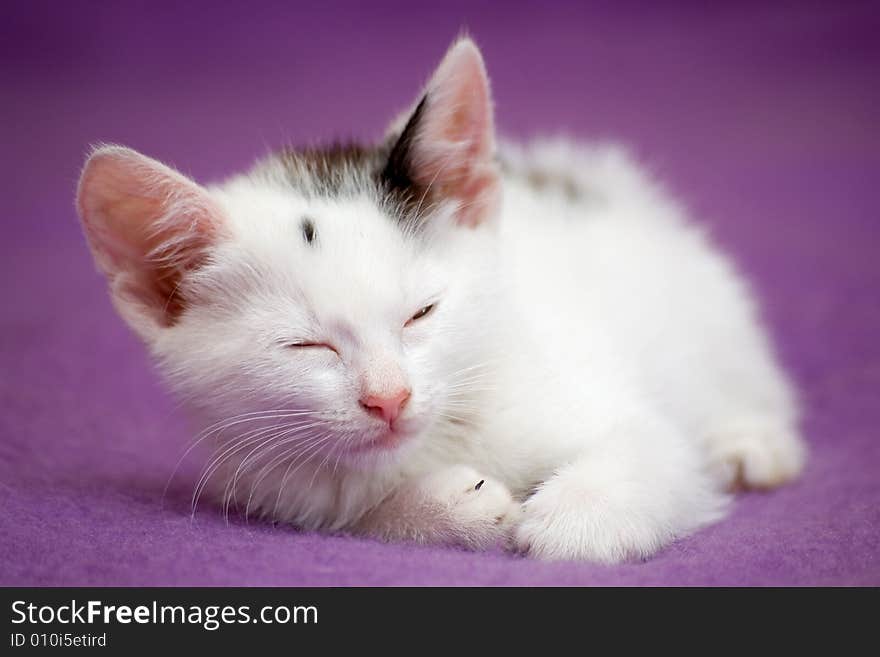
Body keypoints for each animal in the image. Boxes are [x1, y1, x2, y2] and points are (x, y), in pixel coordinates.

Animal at [75, 36, 804, 560]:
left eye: (421, 313)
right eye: (306, 344)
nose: (389, 398)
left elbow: (653, 446)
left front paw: (578, 520)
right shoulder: (285, 483)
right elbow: (362, 509)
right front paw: (454, 505)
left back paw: (751, 441)